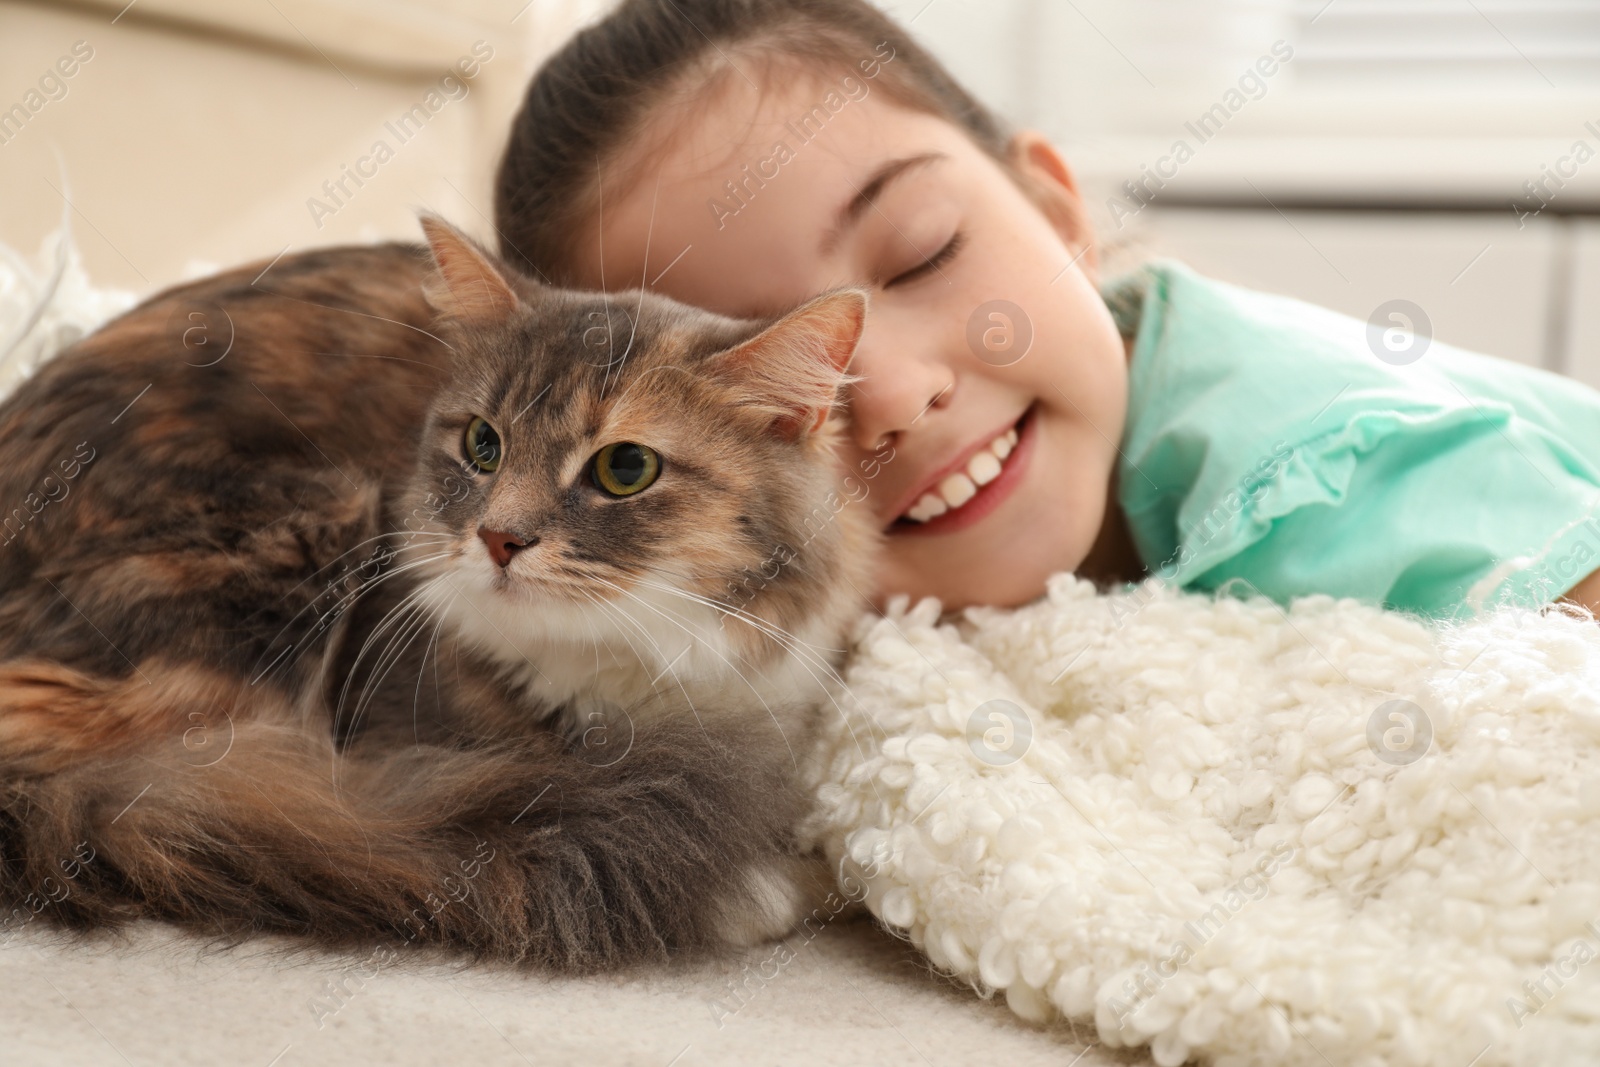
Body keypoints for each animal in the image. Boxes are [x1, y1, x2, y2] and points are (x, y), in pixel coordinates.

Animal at [0, 217, 876, 966]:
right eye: (483, 444)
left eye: (626, 468)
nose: (498, 538)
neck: (638, 684)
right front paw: (778, 885)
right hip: (302, 540)